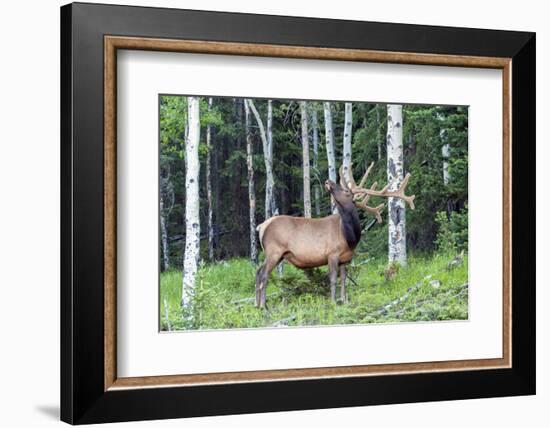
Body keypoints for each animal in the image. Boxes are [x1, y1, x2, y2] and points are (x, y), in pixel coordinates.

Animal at [256, 163, 416, 308]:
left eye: (345, 190)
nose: (328, 181)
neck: (350, 237)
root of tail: (262, 227)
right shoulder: (332, 254)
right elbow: (333, 279)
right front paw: (333, 302)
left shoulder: (345, 259)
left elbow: (343, 278)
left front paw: (344, 300)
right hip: (274, 251)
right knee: (264, 275)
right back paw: (264, 306)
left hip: (277, 254)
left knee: (258, 272)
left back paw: (257, 305)